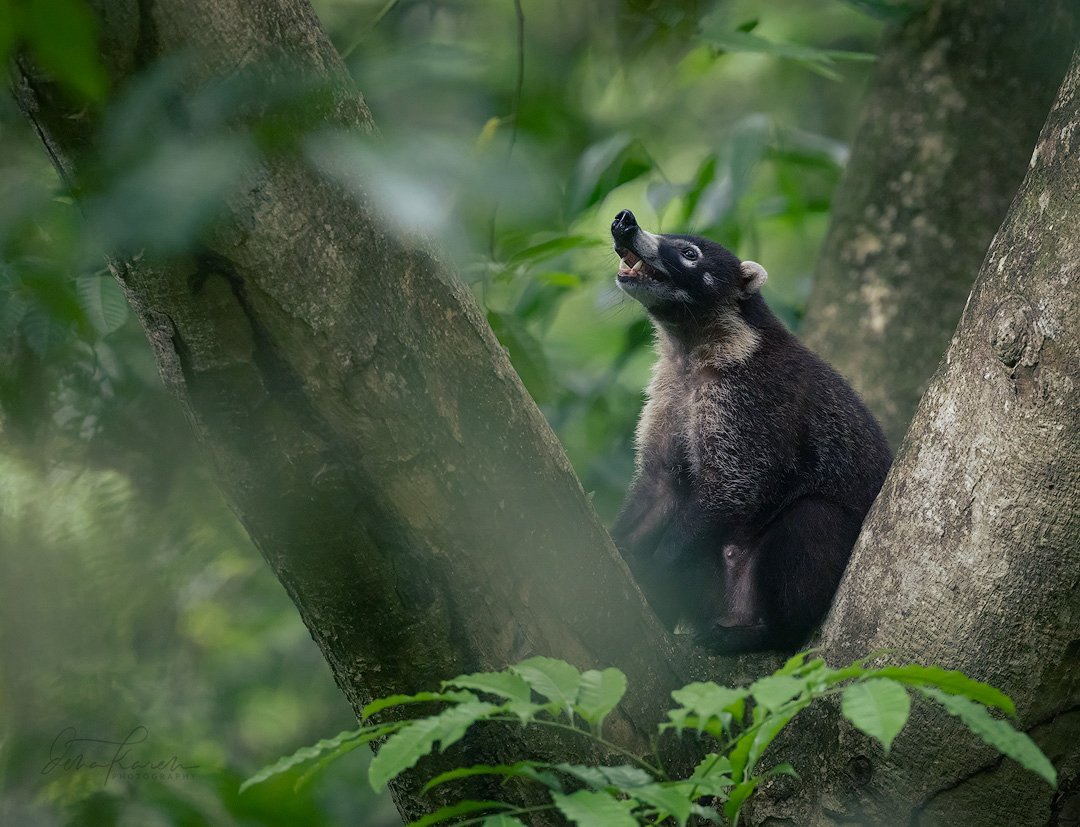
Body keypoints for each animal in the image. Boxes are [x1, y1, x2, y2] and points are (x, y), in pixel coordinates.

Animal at [609, 209, 891, 654]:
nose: (625, 221)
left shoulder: (752, 398)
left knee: (813, 520)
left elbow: (733, 488)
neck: (688, 350)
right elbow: (661, 485)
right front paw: (616, 547)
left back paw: (769, 630)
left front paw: (654, 567)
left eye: (689, 253)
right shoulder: (667, 396)